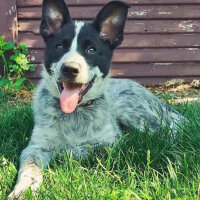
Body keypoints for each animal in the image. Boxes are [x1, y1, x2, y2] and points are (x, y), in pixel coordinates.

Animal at [8, 0, 185, 198]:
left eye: (91, 49)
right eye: (59, 47)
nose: (69, 69)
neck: (75, 114)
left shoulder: (112, 142)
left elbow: (87, 149)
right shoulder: (35, 147)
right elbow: (30, 168)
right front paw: (23, 191)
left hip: (131, 109)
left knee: (169, 130)